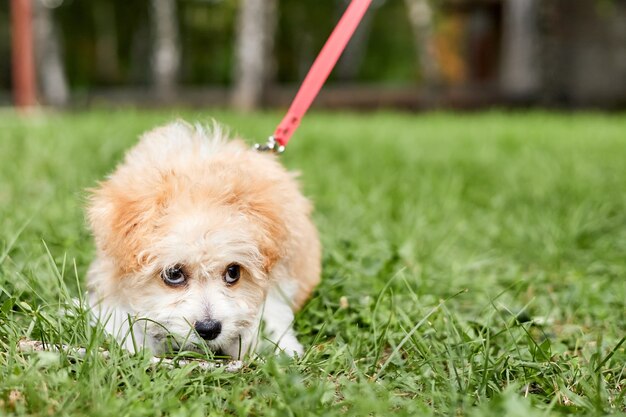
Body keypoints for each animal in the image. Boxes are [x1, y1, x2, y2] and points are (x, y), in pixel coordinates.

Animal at [87, 121, 320, 358]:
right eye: (174, 273)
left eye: (233, 272)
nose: (209, 329)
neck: (199, 185)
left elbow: (271, 309)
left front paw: (274, 347)